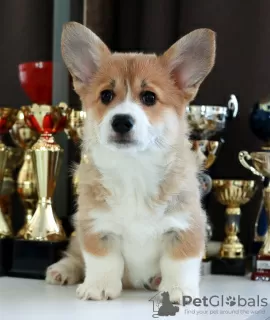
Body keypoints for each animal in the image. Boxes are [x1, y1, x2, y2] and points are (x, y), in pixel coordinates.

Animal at [46, 21, 215, 302]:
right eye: (106, 95)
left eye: (149, 97)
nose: (122, 121)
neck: (134, 170)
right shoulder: (96, 225)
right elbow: (102, 261)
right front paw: (98, 287)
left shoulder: (185, 225)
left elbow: (178, 263)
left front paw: (177, 291)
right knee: (75, 254)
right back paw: (62, 270)